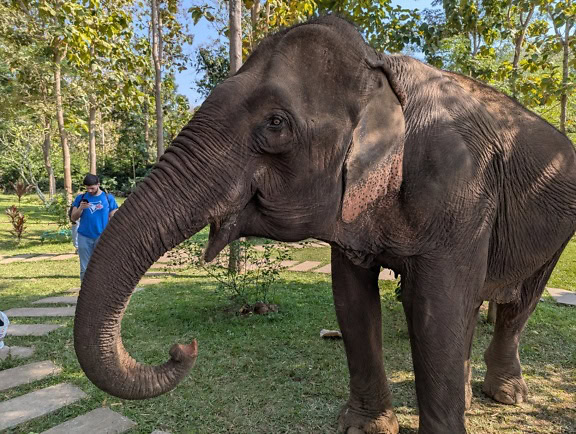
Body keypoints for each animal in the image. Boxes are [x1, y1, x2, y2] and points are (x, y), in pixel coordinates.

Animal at [73, 15, 576, 432]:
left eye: (275, 124)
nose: (183, 348)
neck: (381, 71)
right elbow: (353, 301)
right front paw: (364, 427)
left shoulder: (460, 190)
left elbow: (438, 313)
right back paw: (472, 398)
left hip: (558, 228)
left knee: (518, 302)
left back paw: (506, 395)